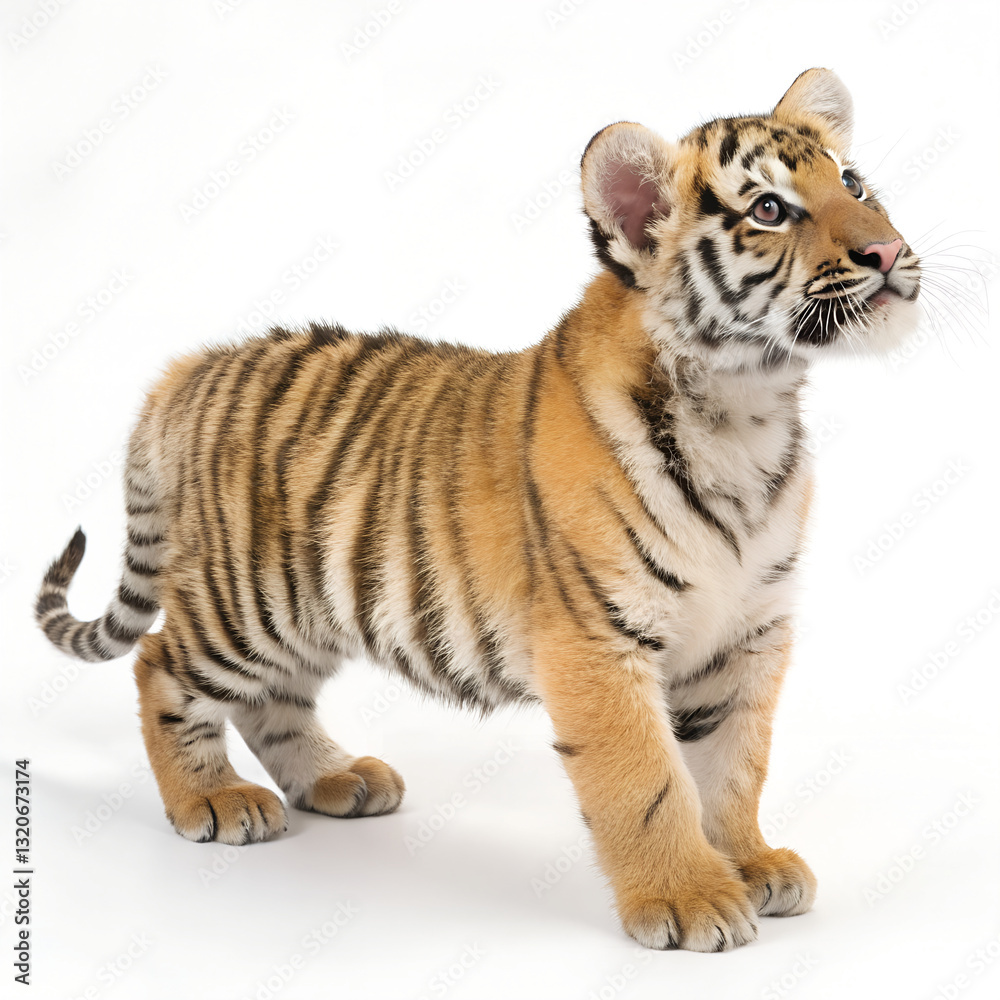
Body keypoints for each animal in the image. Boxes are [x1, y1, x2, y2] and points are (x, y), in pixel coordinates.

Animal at [35, 68, 920, 952]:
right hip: (248, 600)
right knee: (160, 663)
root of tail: (185, 370)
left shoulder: (747, 631)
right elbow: (648, 779)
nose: (886, 251)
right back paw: (212, 799)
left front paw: (749, 862)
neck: (745, 411)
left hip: (312, 606)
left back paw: (336, 777)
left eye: (852, 183)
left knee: (270, 699)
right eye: (768, 209)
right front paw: (687, 898)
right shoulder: (597, 637)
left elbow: (734, 764)